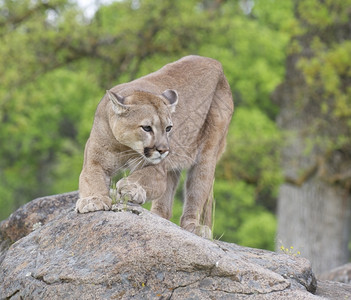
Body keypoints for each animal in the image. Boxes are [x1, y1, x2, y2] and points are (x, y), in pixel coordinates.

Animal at [76, 55, 235, 239]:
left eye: (168, 128)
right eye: (146, 128)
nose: (164, 150)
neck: (125, 146)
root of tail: (214, 61)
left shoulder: (158, 170)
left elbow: (144, 177)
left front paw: (130, 187)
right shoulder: (95, 161)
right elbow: (91, 179)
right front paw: (93, 200)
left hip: (207, 153)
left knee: (197, 191)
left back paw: (195, 227)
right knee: (166, 204)